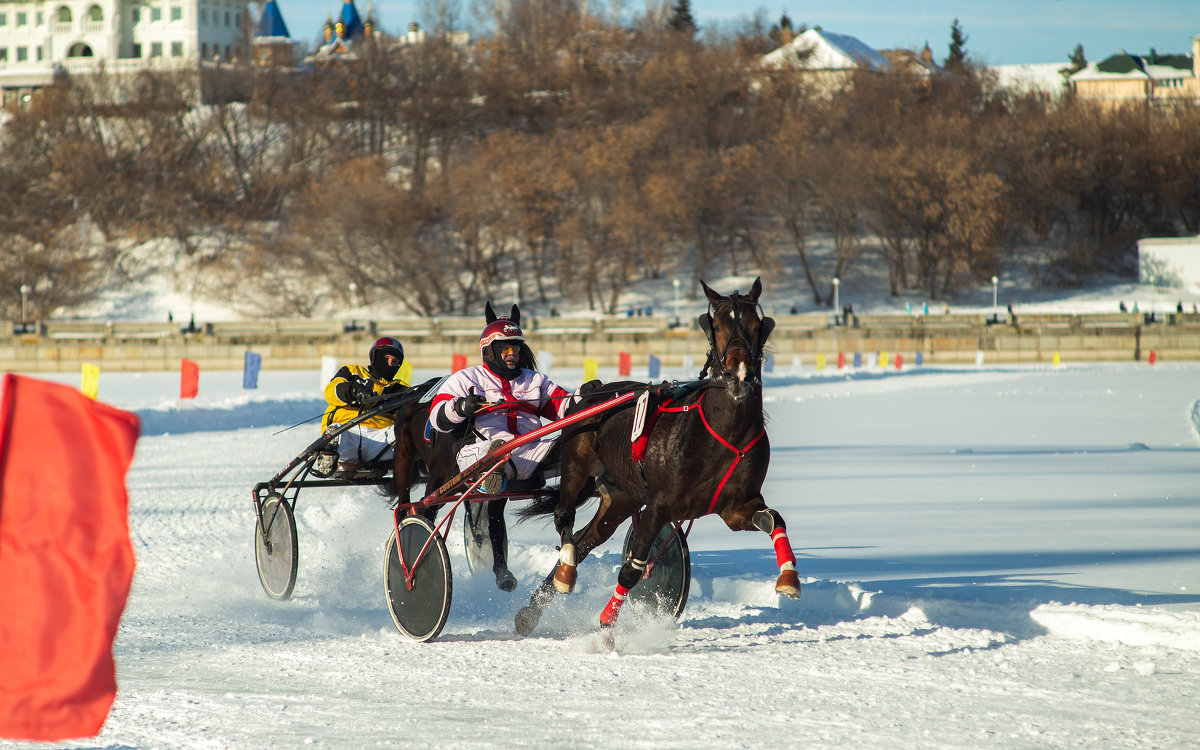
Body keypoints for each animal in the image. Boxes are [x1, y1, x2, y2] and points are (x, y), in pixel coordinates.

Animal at [513, 278, 796, 633]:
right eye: (717, 325)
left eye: (758, 325)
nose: (739, 376)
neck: (721, 432)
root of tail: (592, 390)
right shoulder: (660, 505)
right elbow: (633, 566)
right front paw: (607, 626)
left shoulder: (735, 508)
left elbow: (774, 519)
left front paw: (789, 577)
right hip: (577, 466)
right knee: (564, 519)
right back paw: (564, 573)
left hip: (623, 496)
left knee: (584, 540)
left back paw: (532, 609)